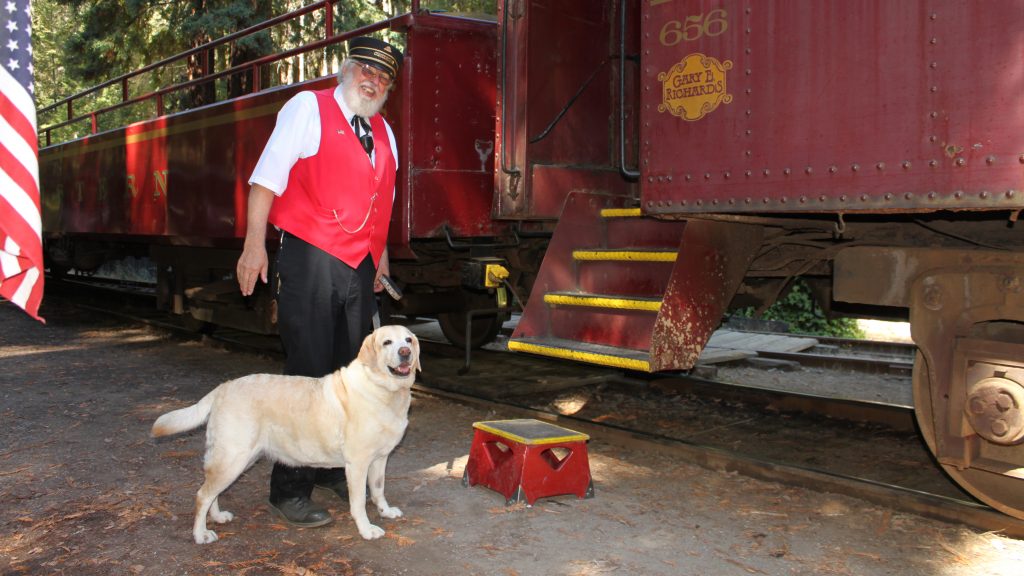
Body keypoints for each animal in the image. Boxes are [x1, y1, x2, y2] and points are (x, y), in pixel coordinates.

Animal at [150, 323, 419, 541]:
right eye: (387, 342)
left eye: (408, 340)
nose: (405, 353)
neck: (384, 390)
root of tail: (222, 388)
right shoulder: (358, 463)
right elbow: (359, 502)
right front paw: (366, 529)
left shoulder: (380, 459)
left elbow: (378, 489)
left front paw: (385, 511)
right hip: (234, 457)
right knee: (202, 494)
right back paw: (201, 534)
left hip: (239, 458)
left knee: (212, 491)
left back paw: (217, 517)